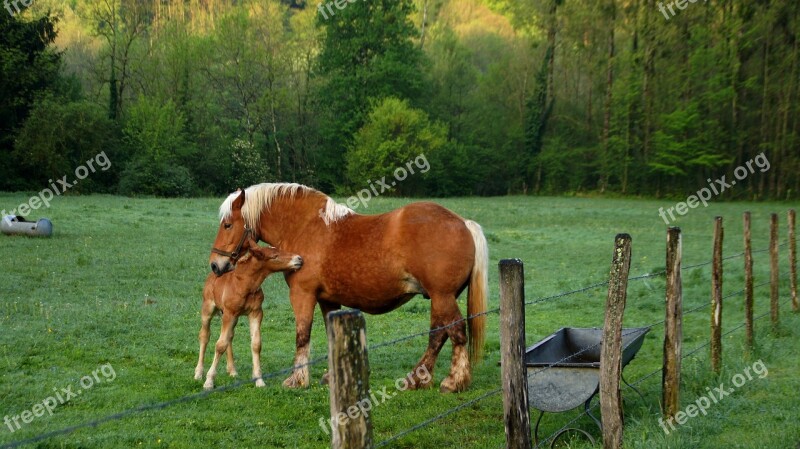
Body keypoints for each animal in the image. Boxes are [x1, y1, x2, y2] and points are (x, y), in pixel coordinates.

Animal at [195, 238, 302, 388]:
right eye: (274, 256)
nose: (299, 259)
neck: (246, 285)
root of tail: (214, 273)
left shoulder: (255, 313)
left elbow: (256, 344)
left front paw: (259, 380)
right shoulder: (229, 314)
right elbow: (220, 345)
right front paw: (209, 381)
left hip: (232, 317)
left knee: (230, 337)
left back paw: (232, 370)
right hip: (208, 309)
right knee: (204, 335)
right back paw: (198, 373)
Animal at [206, 182, 488, 392]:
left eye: (228, 225)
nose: (215, 265)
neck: (306, 227)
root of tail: (463, 223)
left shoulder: (302, 295)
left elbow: (302, 336)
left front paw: (297, 380)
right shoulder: (328, 300)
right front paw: (332, 376)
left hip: (443, 297)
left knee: (455, 332)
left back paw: (453, 382)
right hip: (440, 299)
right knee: (438, 336)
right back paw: (417, 379)